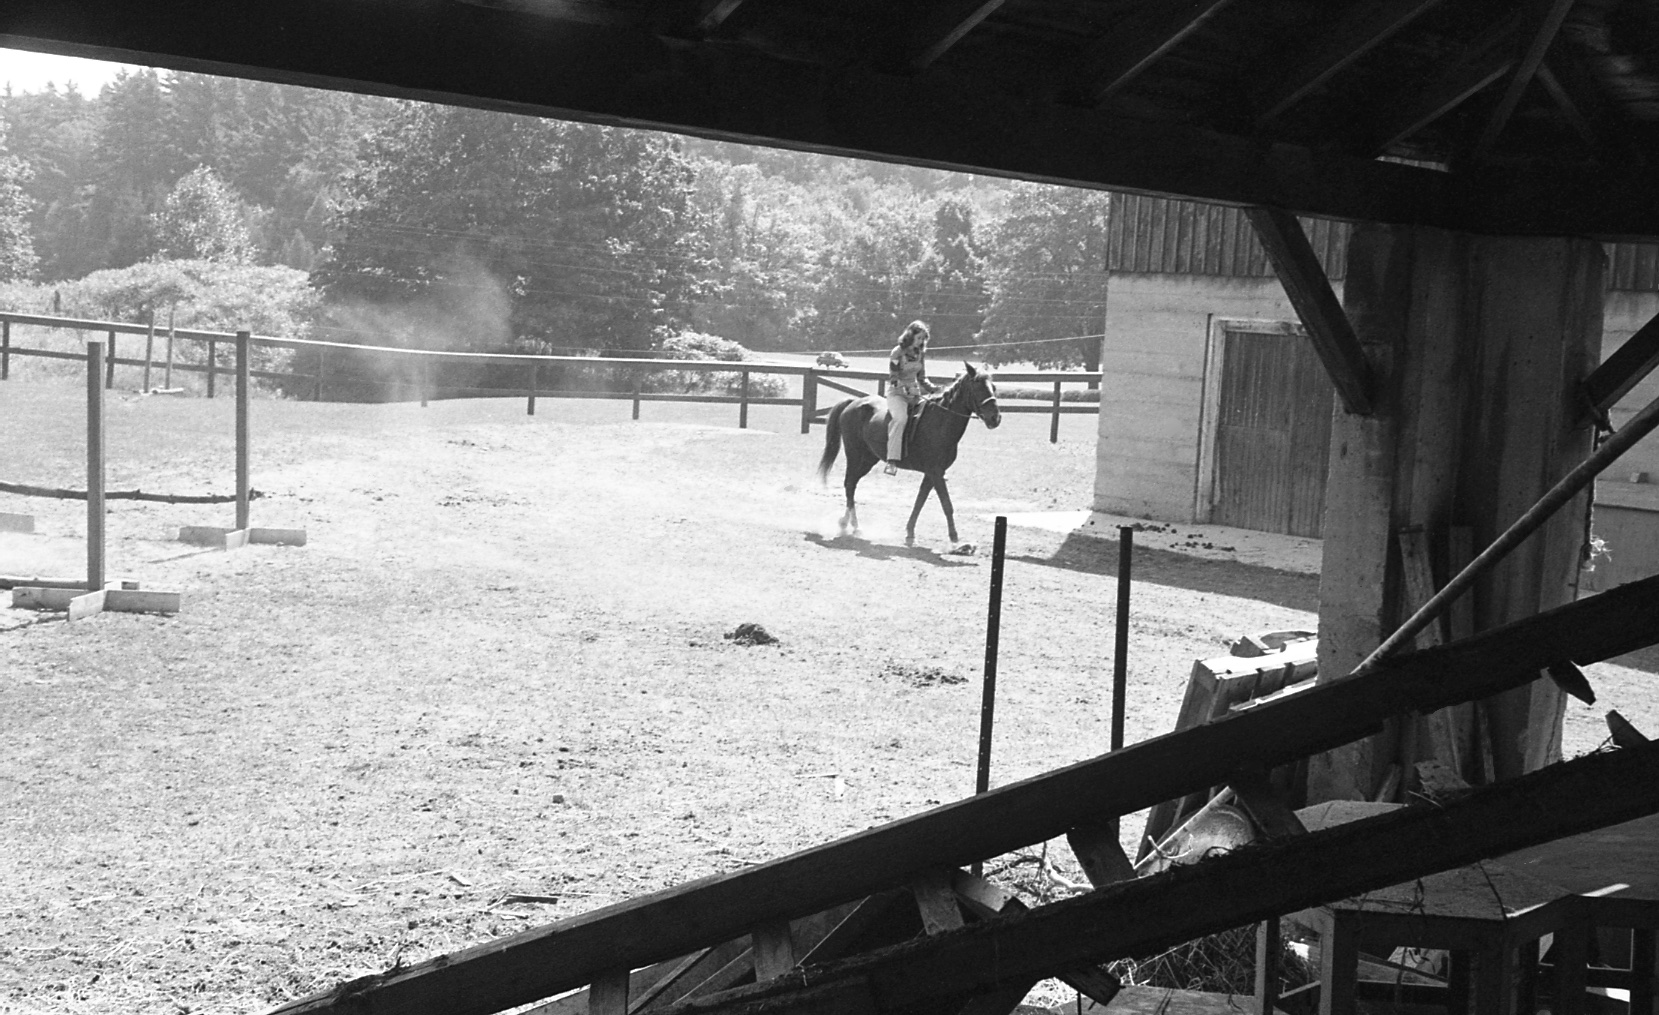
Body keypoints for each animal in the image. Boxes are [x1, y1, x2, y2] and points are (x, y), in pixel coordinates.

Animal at [812, 361, 995, 543]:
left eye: (993, 387)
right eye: (977, 387)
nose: (995, 418)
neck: (940, 421)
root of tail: (854, 402)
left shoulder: (932, 473)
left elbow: (920, 501)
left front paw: (910, 532)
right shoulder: (936, 472)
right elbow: (946, 504)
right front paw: (954, 536)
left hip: (868, 460)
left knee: (852, 483)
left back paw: (847, 523)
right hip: (855, 455)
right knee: (850, 484)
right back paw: (853, 526)